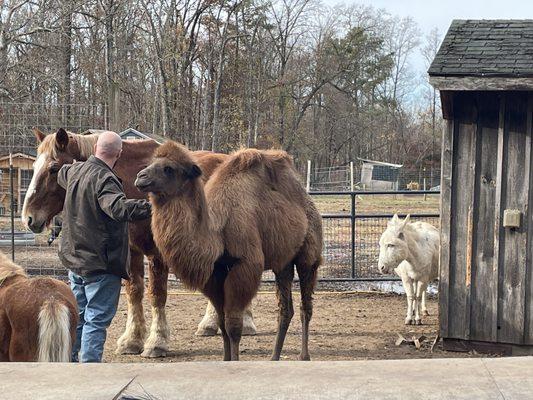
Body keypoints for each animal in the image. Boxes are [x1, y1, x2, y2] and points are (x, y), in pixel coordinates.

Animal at [135, 142, 322, 360]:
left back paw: (304, 356)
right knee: (285, 309)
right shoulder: (214, 275)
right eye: (152, 162)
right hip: (282, 263)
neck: (218, 233)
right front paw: (225, 359)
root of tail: (307, 199)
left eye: (169, 169)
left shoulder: (244, 267)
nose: (140, 177)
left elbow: (233, 326)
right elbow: (222, 324)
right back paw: (274, 357)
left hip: (308, 258)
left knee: (305, 306)